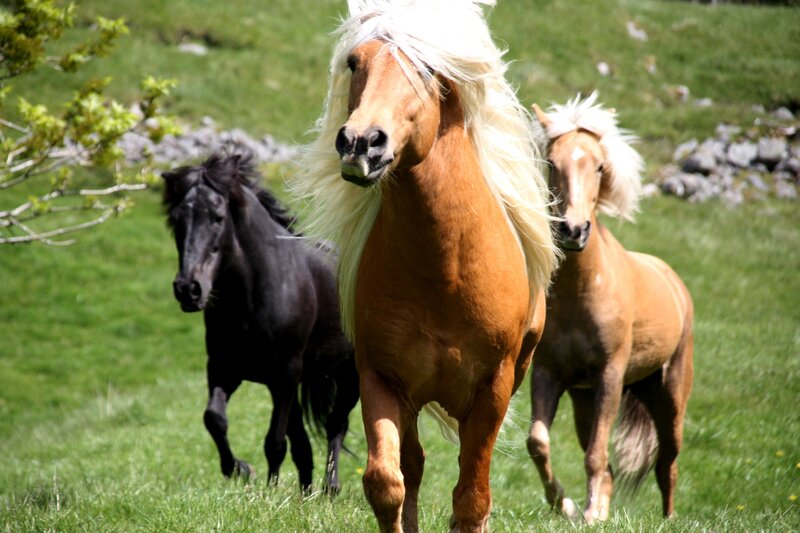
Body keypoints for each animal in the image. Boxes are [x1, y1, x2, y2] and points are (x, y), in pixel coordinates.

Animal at [161, 151, 359, 494]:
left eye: (218, 217)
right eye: (176, 220)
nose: (188, 289)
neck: (253, 296)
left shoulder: (284, 374)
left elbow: (275, 442)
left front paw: (269, 491)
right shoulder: (225, 368)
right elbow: (214, 419)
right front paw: (240, 469)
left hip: (348, 375)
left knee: (336, 425)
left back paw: (330, 488)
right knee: (304, 443)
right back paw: (305, 493)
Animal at [290, 1, 558, 530]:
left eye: (429, 69)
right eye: (355, 61)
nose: (361, 143)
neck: (444, 273)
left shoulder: (493, 388)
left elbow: (472, 498)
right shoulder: (381, 379)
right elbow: (386, 482)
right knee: (411, 467)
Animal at [526, 93, 694, 523]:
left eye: (599, 165)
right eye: (552, 161)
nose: (573, 230)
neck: (581, 294)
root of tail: (673, 281)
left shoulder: (610, 376)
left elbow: (595, 454)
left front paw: (587, 513)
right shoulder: (549, 373)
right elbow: (539, 442)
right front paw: (567, 505)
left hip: (668, 397)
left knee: (667, 462)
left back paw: (667, 519)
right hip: (586, 399)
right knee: (609, 466)